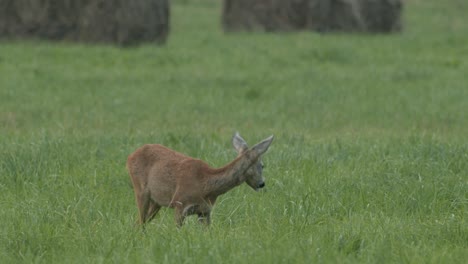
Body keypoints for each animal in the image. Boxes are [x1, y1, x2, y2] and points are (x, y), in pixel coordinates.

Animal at [128, 132, 274, 227]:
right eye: (262, 165)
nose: (261, 183)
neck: (206, 186)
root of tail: (130, 157)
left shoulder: (205, 211)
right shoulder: (179, 203)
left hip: (156, 201)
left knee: (139, 222)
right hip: (140, 189)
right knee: (140, 222)